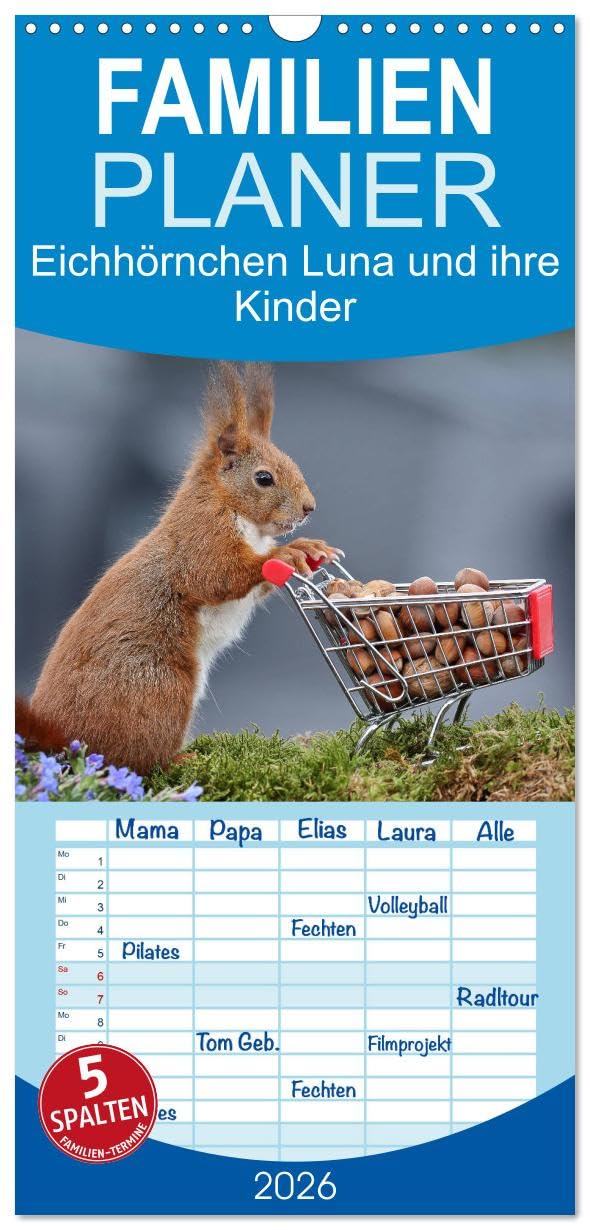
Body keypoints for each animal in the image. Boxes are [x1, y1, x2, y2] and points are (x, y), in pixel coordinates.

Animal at [16, 361, 339, 773]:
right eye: (264, 478)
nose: (309, 508)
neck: (236, 512)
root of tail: (60, 738)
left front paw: (308, 549)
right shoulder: (201, 537)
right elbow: (218, 575)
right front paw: (284, 556)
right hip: (160, 688)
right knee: (138, 760)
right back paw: (180, 758)